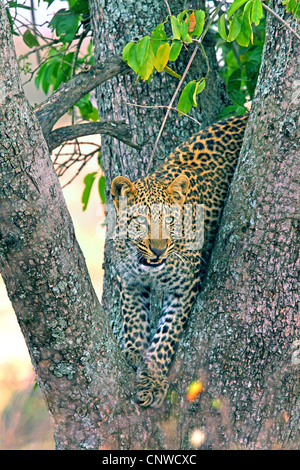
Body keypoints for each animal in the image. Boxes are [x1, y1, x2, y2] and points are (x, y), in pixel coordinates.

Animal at [110, 114, 248, 408]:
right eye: (140, 222)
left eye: (170, 221)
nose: (158, 251)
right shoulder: (128, 279)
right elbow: (133, 316)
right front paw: (135, 352)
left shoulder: (185, 285)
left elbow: (167, 334)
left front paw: (151, 380)